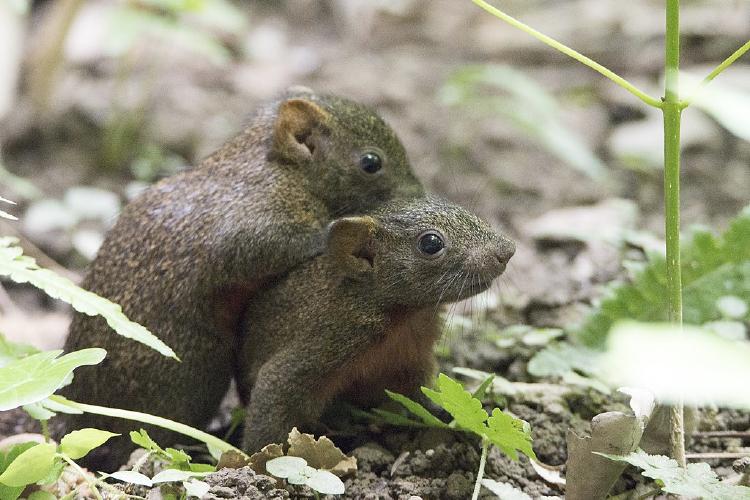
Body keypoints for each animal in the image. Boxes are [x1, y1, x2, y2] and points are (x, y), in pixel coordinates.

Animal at [238, 196, 516, 454]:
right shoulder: (324, 343)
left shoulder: (413, 362)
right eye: (431, 244)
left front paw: (448, 416)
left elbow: (420, 398)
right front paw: (258, 459)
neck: (406, 318)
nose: (508, 250)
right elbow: (270, 404)